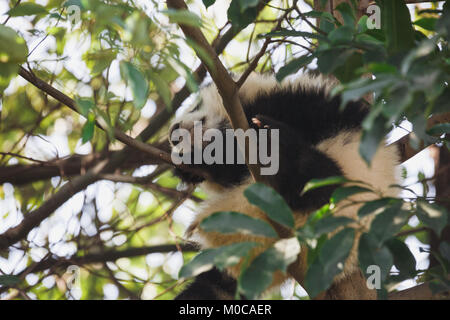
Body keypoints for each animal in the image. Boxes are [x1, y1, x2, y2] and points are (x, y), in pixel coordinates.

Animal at [167, 72, 400, 300]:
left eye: (195, 106)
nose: (173, 132)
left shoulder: (298, 103)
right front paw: (190, 166)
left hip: (346, 193)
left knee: (317, 179)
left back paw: (279, 146)